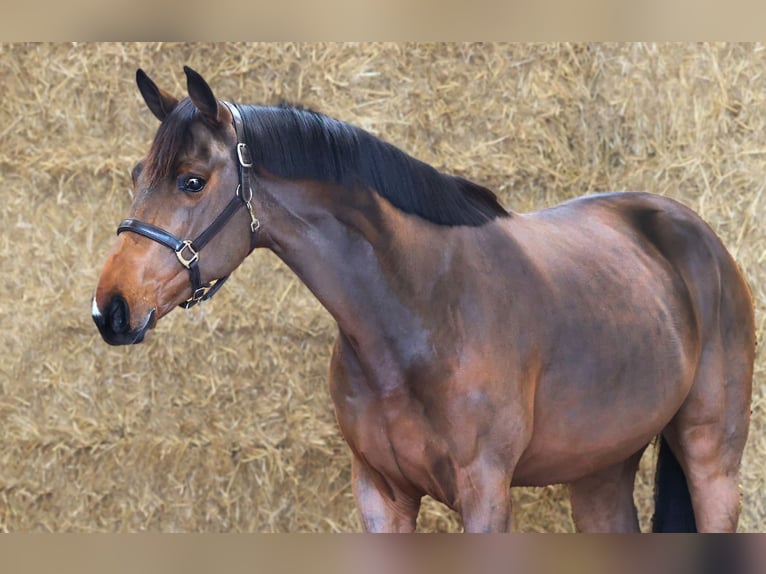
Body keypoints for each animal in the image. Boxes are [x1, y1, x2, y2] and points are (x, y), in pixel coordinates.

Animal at [91, 67, 756, 536]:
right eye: (136, 176)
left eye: (192, 181)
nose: (111, 309)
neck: (421, 312)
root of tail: (697, 237)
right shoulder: (381, 494)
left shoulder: (484, 491)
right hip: (600, 470)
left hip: (711, 461)